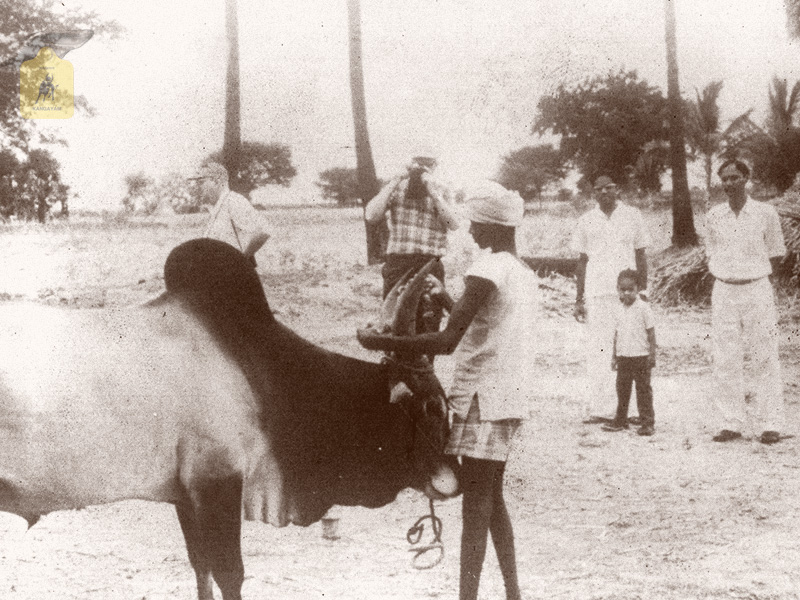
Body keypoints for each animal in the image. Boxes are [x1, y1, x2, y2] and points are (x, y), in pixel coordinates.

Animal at [0, 238, 460, 600]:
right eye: (433, 407)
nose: (454, 479)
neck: (260, 369)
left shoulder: (186, 496)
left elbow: (200, 569)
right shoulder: (216, 484)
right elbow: (229, 575)